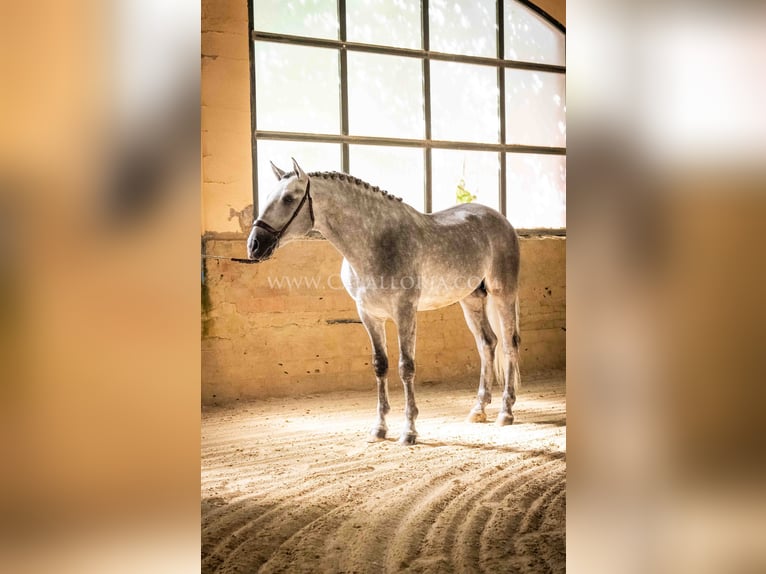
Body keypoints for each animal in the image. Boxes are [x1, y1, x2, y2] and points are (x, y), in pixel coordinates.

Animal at [248, 160, 520, 448]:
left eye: (289, 198)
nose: (254, 246)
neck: (375, 242)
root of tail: (500, 219)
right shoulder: (369, 315)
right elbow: (381, 366)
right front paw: (379, 428)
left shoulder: (405, 312)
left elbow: (406, 367)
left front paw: (409, 431)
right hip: (471, 299)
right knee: (487, 344)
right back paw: (478, 409)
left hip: (503, 294)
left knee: (509, 344)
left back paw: (506, 412)